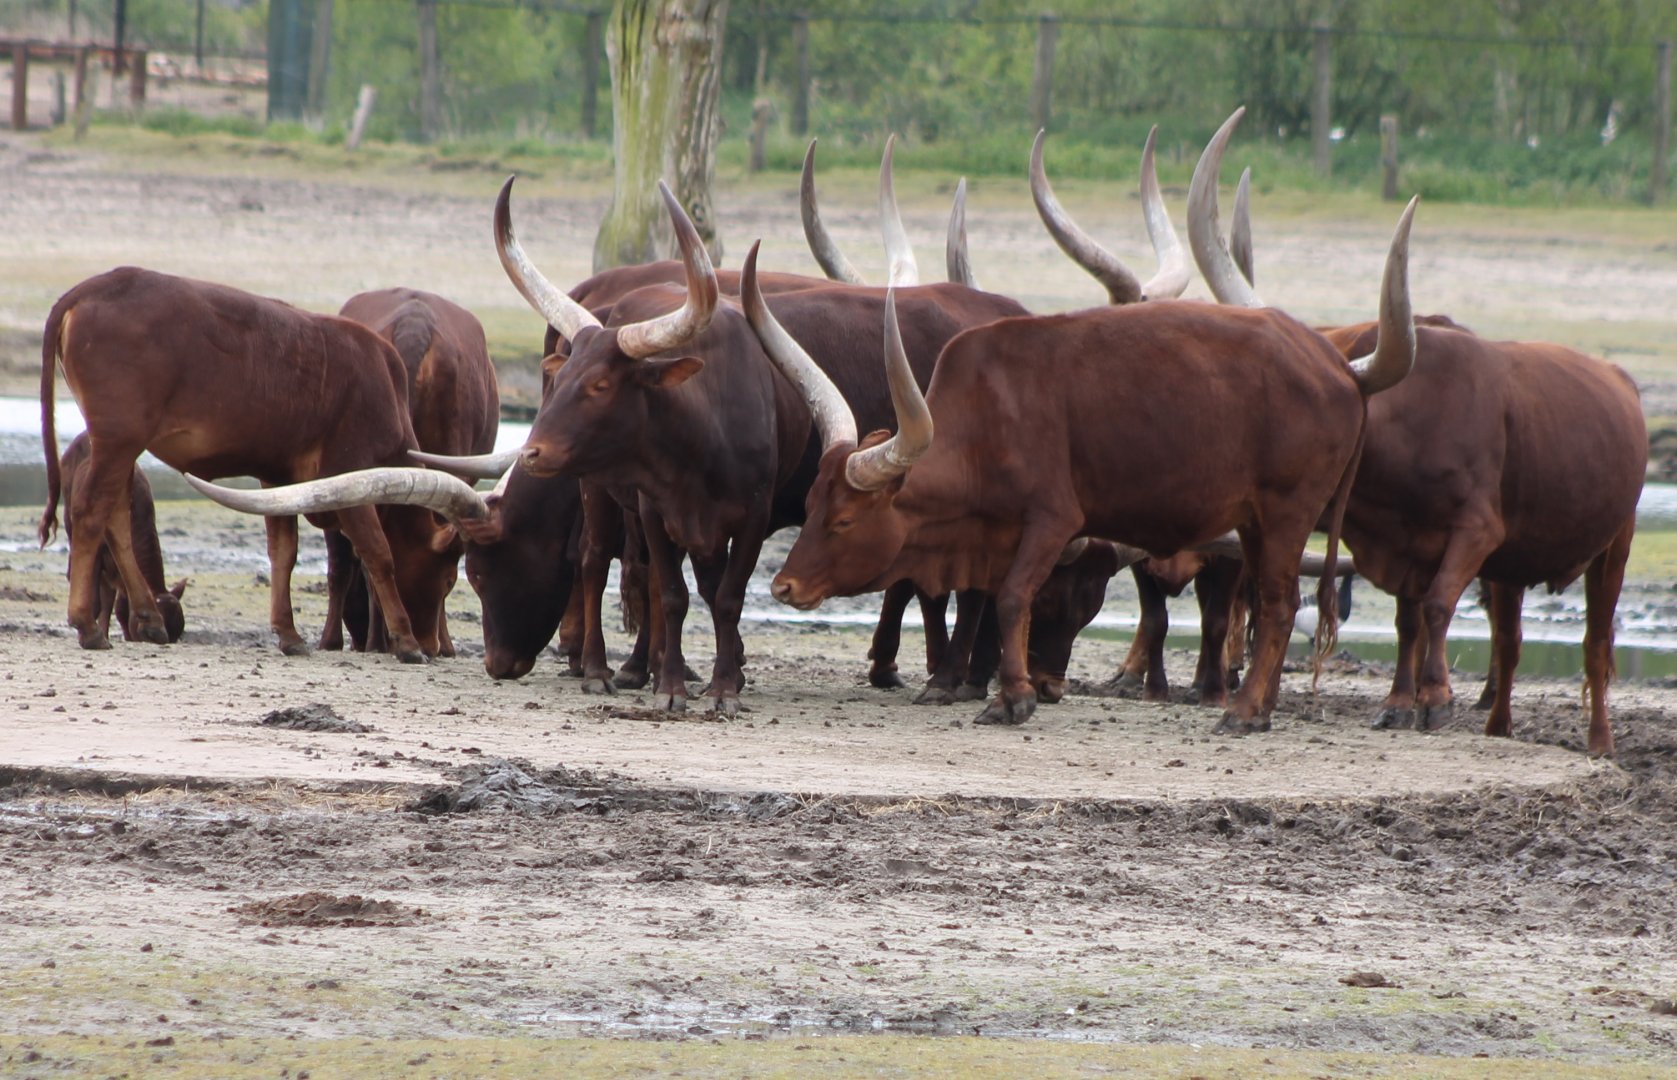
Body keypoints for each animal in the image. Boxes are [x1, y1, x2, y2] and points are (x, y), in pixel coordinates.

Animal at [756, 109, 1420, 733]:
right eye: (810, 504)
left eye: (843, 520)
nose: (784, 586)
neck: (986, 418)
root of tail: (1335, 366)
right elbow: (990, 600)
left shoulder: (1052, 519)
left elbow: (1010, 599)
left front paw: (1012, 698)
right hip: (1256, 520)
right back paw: (1258, 708)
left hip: (1288, 511)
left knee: (1279, 606)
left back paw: (1243, 711)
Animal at [1194, 143, 1644, 759]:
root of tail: (1621, 380)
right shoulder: (1407, 546)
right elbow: (1408, 618)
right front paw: (1399, 703)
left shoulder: (1476, 532)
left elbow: (1436, 605)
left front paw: (1435, 698)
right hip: (1511, 567)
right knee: (1510, 641)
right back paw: (1498, 726)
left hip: (1613, 545)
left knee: (1596, 643)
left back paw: (1599, 740)